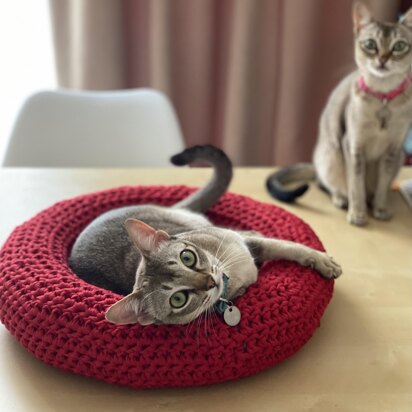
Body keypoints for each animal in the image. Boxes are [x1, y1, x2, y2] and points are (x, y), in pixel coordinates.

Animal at [70, 145, 342, 326]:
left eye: (187, 257)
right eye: (178, 299)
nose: (210, 282)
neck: (232, 271)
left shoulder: (245, 244)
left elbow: (287, 246)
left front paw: (322, 261)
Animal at [266, 1, 412, 227]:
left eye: (399, 46)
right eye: (370, 44)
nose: (382, 59)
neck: (383, 100)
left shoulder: (392, 151)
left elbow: (382, 186)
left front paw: (380, 209)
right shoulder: (353, 145)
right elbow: (356, 186)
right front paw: (358, 215)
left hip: (399, 157)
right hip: (331, 155)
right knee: (323, 183)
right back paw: (340, 199)